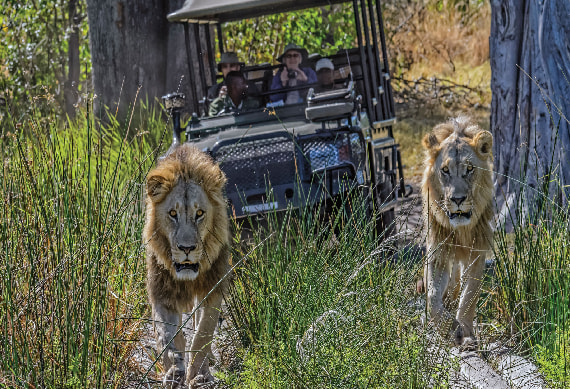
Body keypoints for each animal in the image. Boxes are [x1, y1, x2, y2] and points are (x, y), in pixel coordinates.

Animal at [143, 144, 230, 386]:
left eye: (199, 213)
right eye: (173, 214)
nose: (187, 248)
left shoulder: (213, 288)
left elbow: (203, 332)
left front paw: (200, 375)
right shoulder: (161, 293)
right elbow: (166, 336)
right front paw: (174, 372)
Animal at [418, 115, 492, 348]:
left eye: (469, 169)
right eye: (445, 170)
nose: (458, 199)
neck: (460, 230)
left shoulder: (477, 252)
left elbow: (470, 296)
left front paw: (465, 332)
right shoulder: (437, 252)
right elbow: (432, 297)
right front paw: (448, 327)